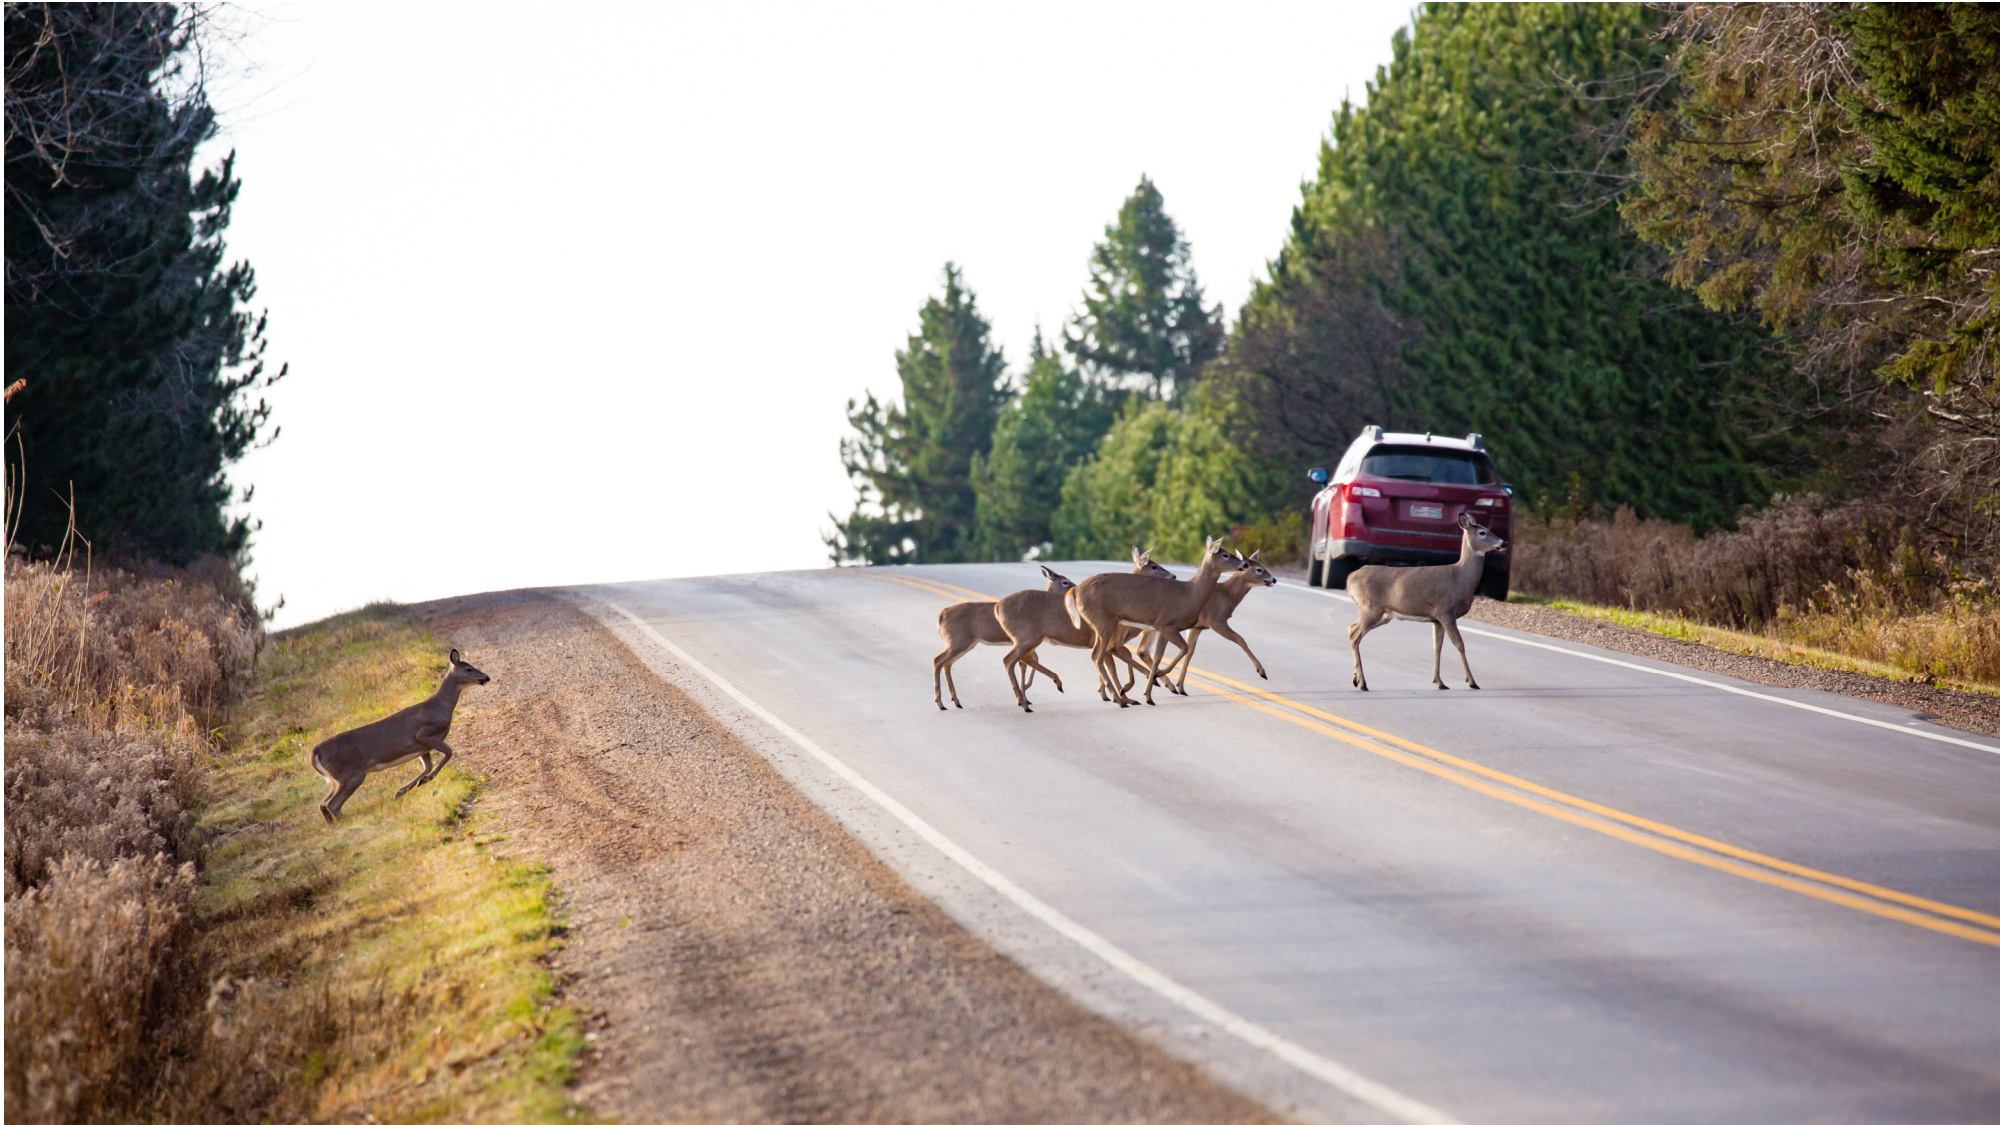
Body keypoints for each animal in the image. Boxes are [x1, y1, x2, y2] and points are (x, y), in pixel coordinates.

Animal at [310, 649, 492, 823]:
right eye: (469, 669)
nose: (486, 677)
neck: (440, 707)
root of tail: (316, 752)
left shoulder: (423, 748)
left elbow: (428, 766)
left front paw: (406, 788)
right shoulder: (424, 733)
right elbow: (448, 752)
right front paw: (424, 780)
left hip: (336, 779)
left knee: (323, 803)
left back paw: (332, 824)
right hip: (351, 773)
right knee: (333, 804)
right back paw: (344, 822)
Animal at [991, 549, 1176, 713]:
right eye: (1153, 566)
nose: (1174, 576)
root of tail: (997, 607)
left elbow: (1117, 661)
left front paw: (1113, 693)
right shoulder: (1106, 640)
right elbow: (1113, 666)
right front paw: (1126, 694)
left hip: (1029, 639)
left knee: (1023, 659)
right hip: (1026, 637)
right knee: (1010, 660)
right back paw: (1025, 702)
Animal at [1067, 537, 1246, 708]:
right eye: (1225, 555)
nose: (1244, 563)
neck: (1189, 595)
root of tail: (1075, 591)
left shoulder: (1161, 628)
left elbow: (1158, 656)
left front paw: (1150, 695)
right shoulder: (1166, 623)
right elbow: (1184, 648)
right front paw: (1159, 679)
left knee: (1104, 653)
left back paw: (1122, 695)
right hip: (1104, 622)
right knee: (1098, 655)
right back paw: (1120, 700)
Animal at [1150, 549, 1278, 693]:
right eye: (1259, 569)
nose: (1274, 579)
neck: (1227, 595)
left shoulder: (1197, 627)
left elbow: (1190, 652)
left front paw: (1181, 686)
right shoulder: (1217, 620)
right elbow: (1240, 639)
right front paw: (1261, 671)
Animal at [1347, 513, 1505, 691]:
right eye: (1482, 532)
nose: (1503, 543)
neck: (1460, 579)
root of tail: (1350, 578)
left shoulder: (1436, 619)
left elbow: (1437, 647)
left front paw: (1439, 682)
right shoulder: (1445, 612)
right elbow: (1459, 644)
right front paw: (1472, 682)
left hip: (1382, 614)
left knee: (1351, 628)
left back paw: (1356, 679)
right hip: (1371, 608)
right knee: (1354, 636)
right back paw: (1363, 683)